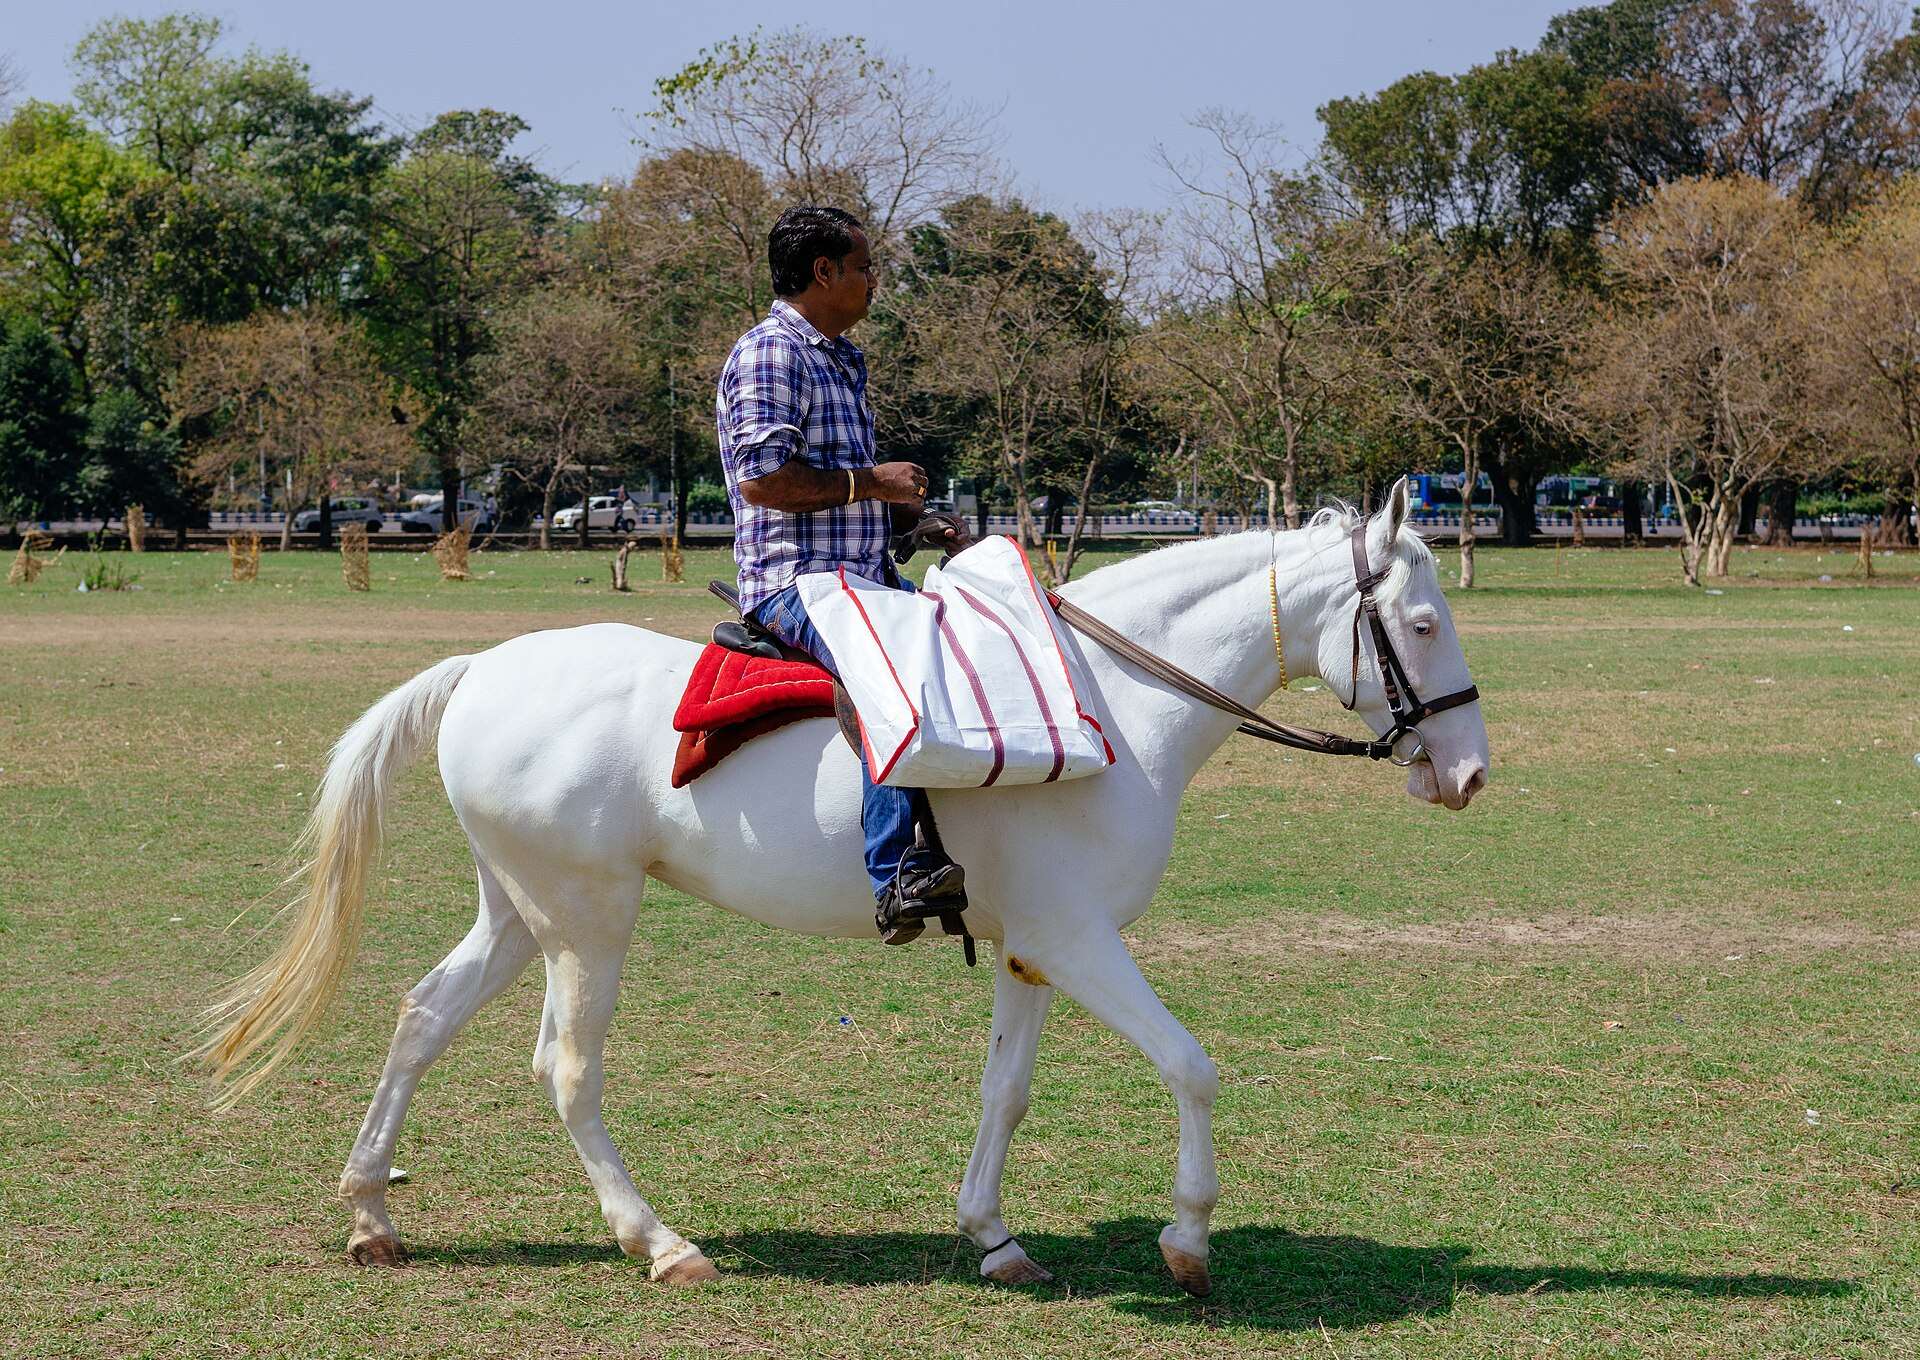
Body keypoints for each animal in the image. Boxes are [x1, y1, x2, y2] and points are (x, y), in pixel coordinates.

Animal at [196, 477, 1489, 1296]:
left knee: (421, 1015)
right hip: (586, 920)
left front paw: (992, 1236)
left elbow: (1006, 1092)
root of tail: (482, 669)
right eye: (1423, 623)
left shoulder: (1032, 946)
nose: (1469, 773)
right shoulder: (1081, 940)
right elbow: (1191, 1064)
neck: (1112, 703)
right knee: (565, 1069)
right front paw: (1187, 1241)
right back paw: (659, 1241)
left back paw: (372, 1212)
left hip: (519, 911)